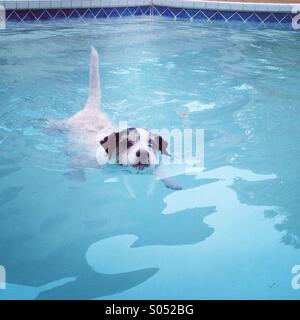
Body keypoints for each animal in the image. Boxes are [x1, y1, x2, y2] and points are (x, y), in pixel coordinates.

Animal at [59, 47, 180, 190]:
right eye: (128, 143)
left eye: (151, 144)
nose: (143, 153)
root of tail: (92, 108)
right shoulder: (85, 160)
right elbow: (75, 164)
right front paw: (75, 176)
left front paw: (172, 182)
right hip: (70, 123)